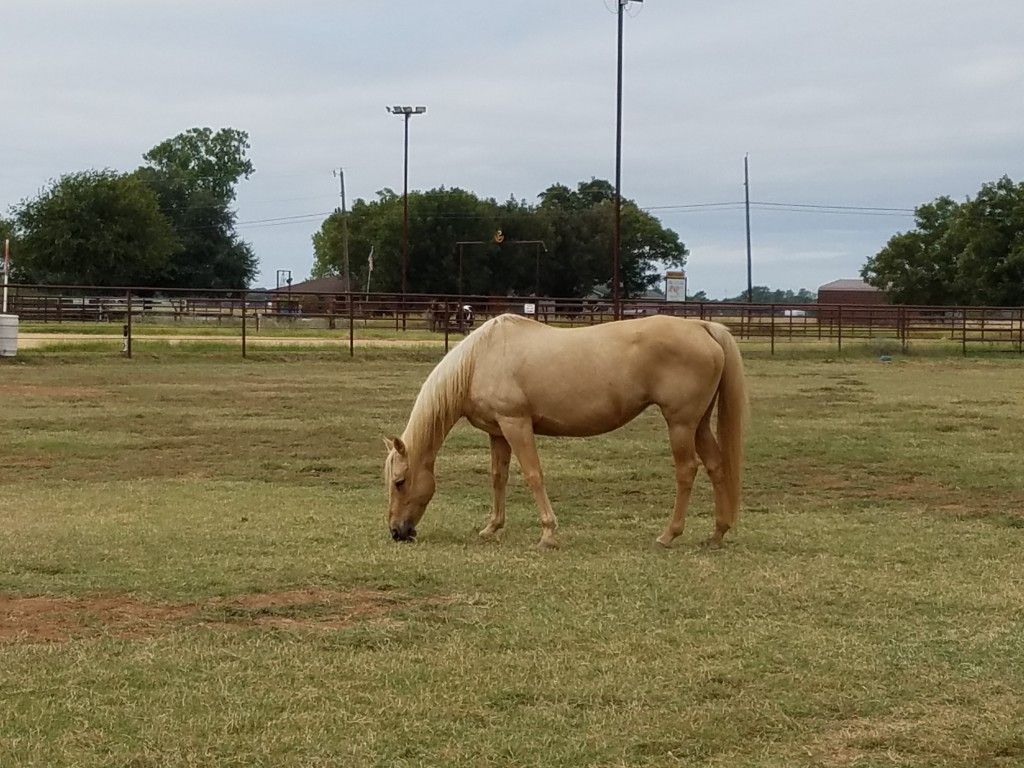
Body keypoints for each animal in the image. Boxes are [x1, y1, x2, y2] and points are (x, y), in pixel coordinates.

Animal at [380, 315, 749, 548]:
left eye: (399, 482)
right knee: (716, 466)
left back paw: (668, 535)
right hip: (698, 424)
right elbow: (498, 477)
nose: (397, 532)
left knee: (687, 471)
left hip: (681, 424)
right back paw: (717, 533)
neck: (479, 360)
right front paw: (492, 528)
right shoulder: (498, 433)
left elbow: (533, 475)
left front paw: (547, 534)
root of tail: (701, 326)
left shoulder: (516, 424)